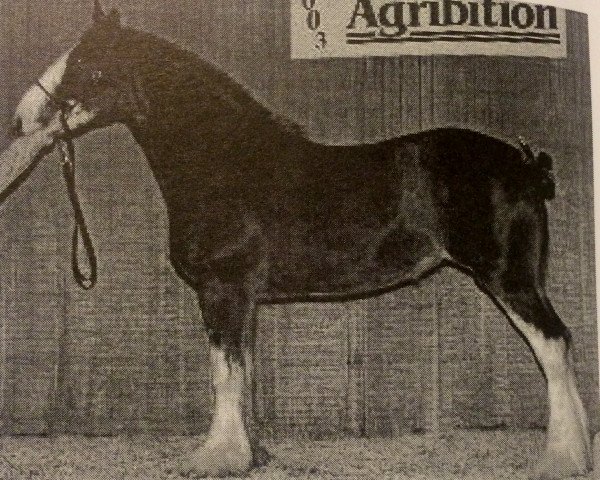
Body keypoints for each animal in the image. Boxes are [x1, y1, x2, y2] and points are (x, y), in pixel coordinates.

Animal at [8, 1, 592, 478]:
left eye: (85, 65)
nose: (20, 121)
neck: (224, 162)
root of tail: (525, 163)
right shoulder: (244, 298)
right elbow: (242, 371)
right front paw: (252, 454)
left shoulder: (222, 289)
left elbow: (223, 371)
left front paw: (215, 459)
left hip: (509, 278)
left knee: (553, 345)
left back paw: (561, 459)